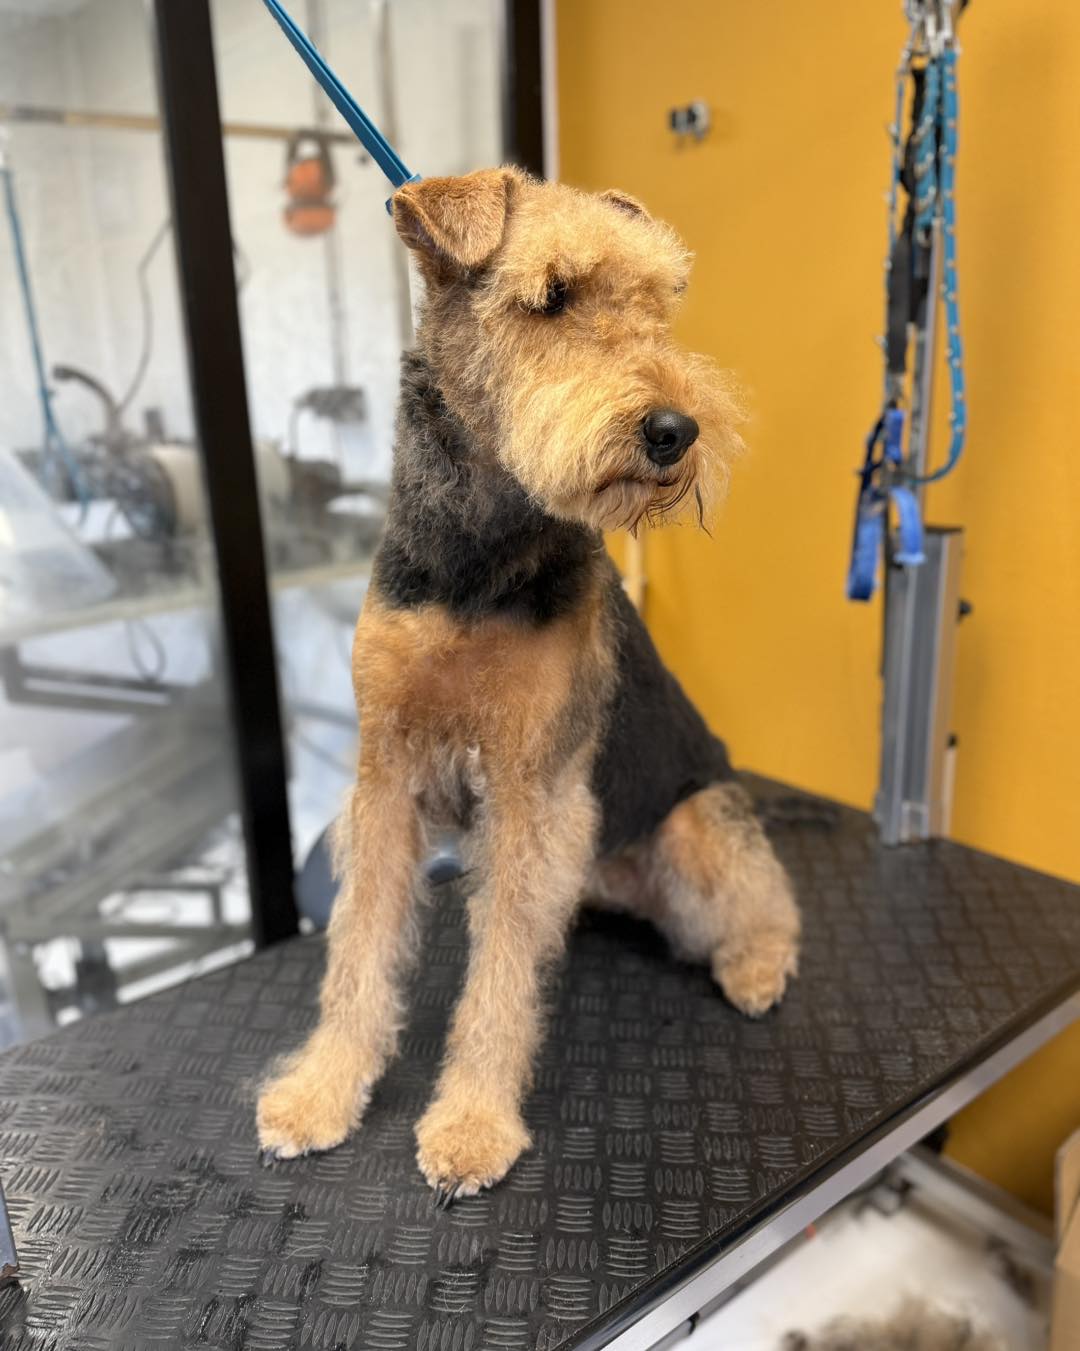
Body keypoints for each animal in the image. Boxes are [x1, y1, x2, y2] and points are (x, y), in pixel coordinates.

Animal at [257, 167, 801, 1199]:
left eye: (659, 302)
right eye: (551, 296)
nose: (678, 429)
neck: (477, 554)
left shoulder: (530, 790)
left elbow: (499, 979)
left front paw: (471, 1125)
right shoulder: (386, 774)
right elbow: (358, 946)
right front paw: (320, 1091)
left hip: (697, 822)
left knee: (767, 901)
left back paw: (757, 969)